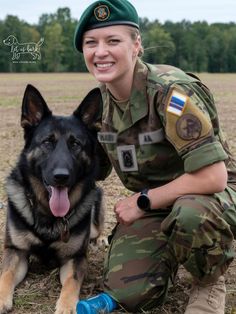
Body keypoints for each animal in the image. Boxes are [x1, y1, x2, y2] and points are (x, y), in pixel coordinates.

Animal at [0, 84, 106, 312]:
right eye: (48, 142)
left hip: (98, 198)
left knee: (96, 228)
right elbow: (6, 274)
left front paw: (66, 306)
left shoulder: (75, 258)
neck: (48, 215)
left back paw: (101, 238)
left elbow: (72, 282)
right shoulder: (16, 252)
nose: (61, 177)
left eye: (75, 144)